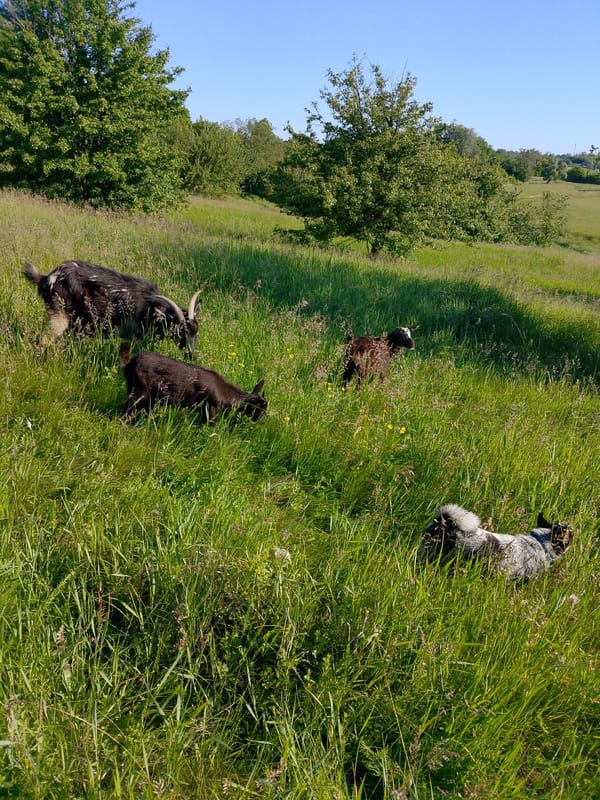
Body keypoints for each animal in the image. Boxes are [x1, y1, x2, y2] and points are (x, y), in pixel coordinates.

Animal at [23, 260, 201, 353]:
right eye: (181, 330)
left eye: (196, 332)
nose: (192, 355)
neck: (150, 307)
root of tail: (46, 279)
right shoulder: (135, 336)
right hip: (59, 315)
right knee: (44, 340)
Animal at [119, 342, 267, 423]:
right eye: (261, 408)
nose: (261, 420)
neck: (226, 395)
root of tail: (129, 362)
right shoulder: (211, 408)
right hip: (139, 393)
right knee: (125, 413)